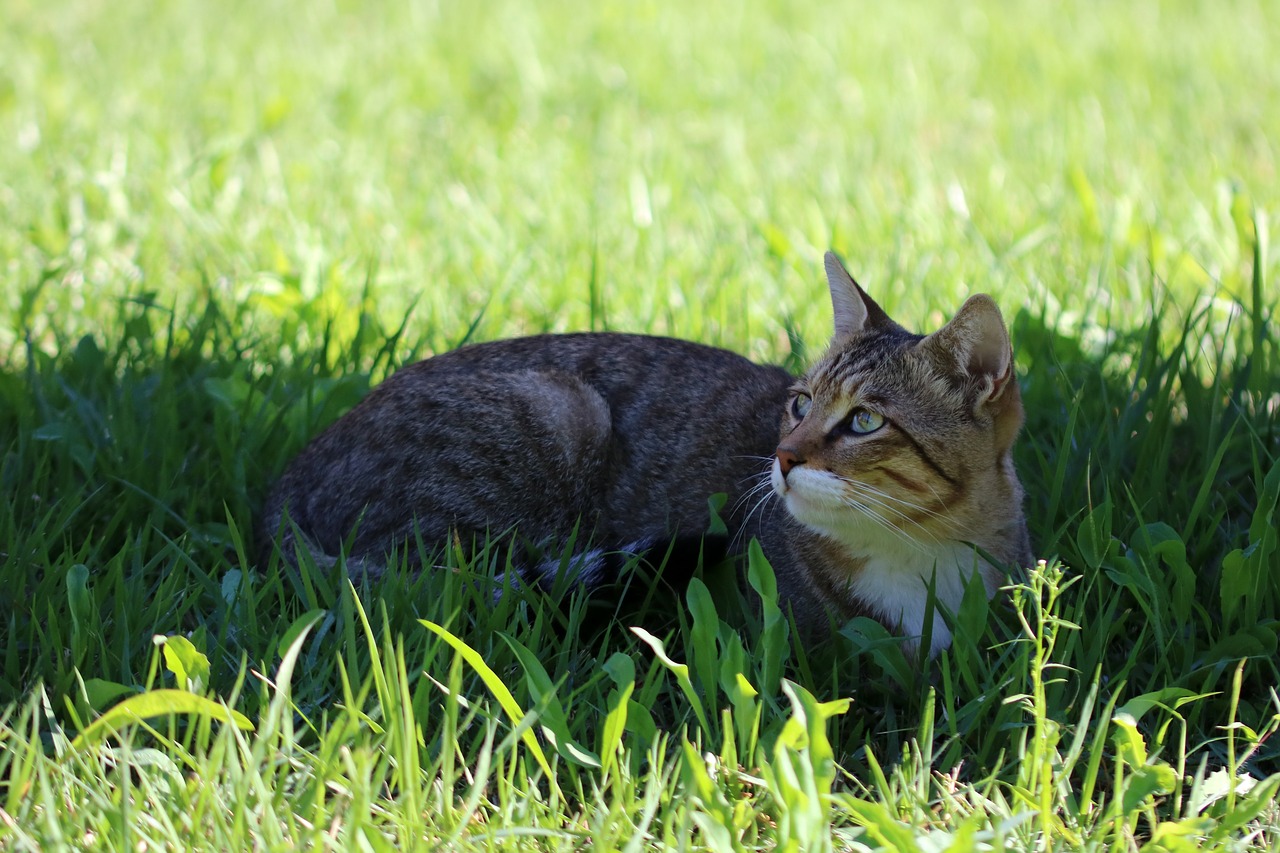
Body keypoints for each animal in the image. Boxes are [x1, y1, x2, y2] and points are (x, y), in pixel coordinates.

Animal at [259, 249, 1029, 653]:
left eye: (865, 420)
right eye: (800, 403)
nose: (782, 455)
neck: (919, 554)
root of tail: (291, 474)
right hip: (556, 415)